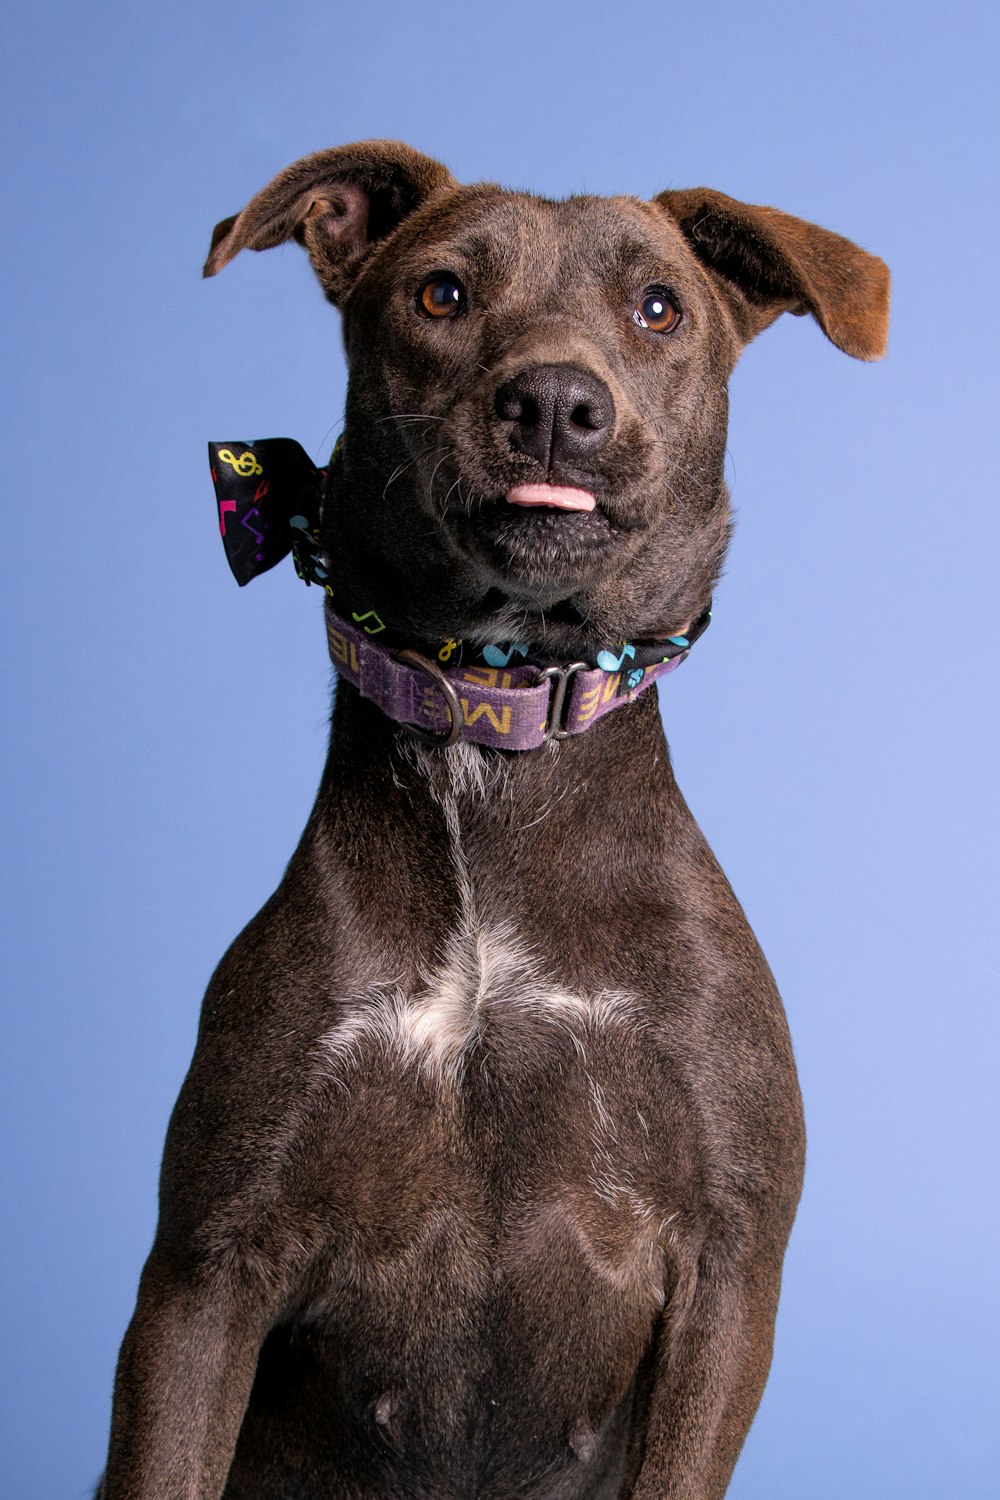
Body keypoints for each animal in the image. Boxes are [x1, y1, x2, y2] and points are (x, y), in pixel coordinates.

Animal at [97, 143, 887, 1500]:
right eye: (442, 294)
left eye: (658, 308)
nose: (557, 401)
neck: (497, 721)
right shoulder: (203, 1274)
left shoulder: (728, 1277)